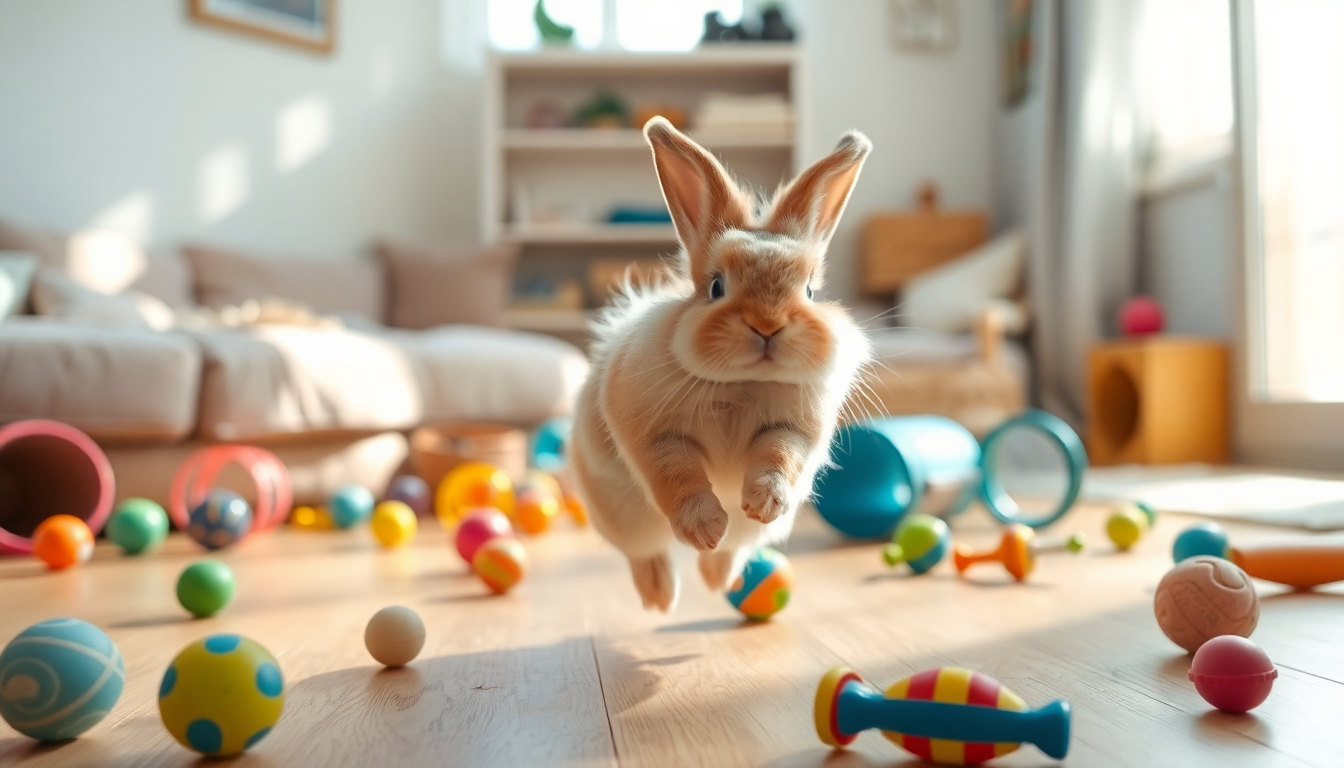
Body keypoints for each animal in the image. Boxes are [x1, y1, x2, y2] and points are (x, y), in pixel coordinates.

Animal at [570, 116, 873, 612]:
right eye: (716, 286)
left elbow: (779, 458)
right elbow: (678, 475)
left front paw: (764, 502)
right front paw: (704, 527)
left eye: (809, 291)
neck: (742, 382)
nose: (767, 325)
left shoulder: (792, 429)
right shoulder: (656, 435)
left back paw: (718, 578)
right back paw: (661, 595)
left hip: (748, 536)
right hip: (621, 517)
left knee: (734, 550)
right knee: (645, 552)